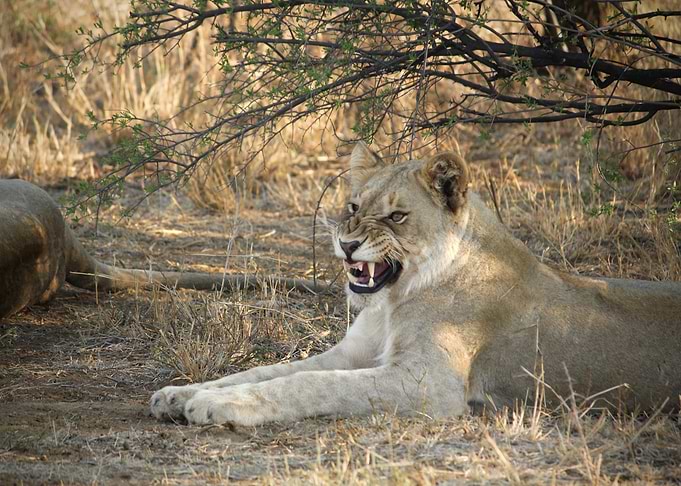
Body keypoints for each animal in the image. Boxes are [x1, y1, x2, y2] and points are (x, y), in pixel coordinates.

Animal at [150, 142, 681, 426]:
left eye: (396, 216)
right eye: (353, 206)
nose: (346, 245)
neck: (392, 302)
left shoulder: (430, 384)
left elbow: (309, 384)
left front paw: (218, 405)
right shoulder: (353, 354)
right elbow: (269, 370)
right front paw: (179, 394)